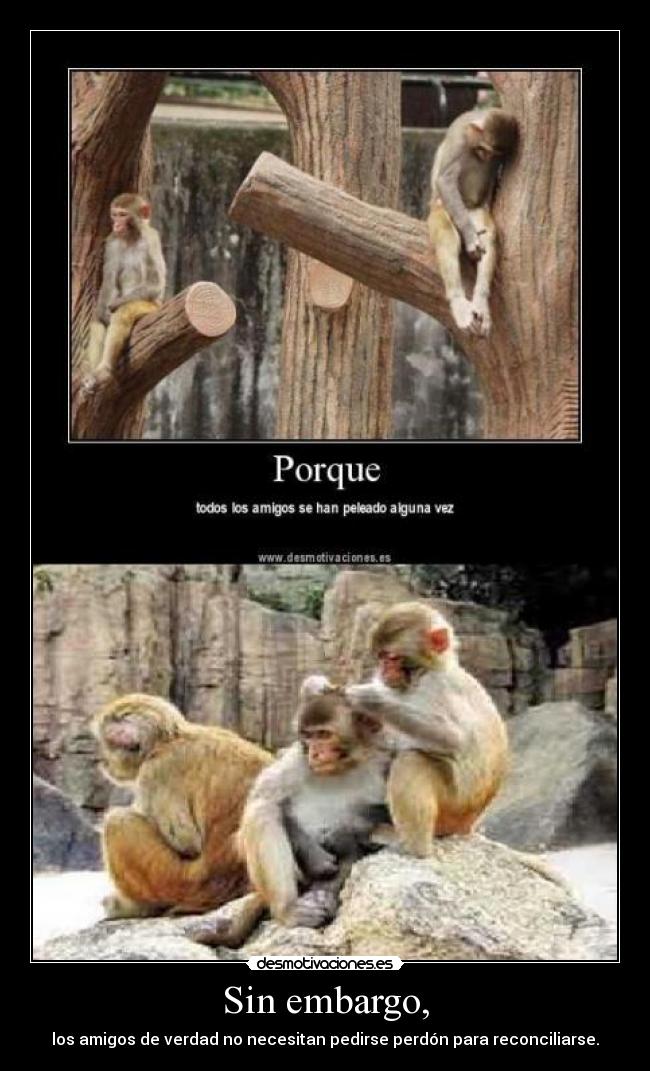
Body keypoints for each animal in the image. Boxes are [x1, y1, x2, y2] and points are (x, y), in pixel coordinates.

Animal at [85, 193, 166, 388]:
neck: (131, 237)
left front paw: (114, 305)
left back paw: (105, 369)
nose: (116, 224)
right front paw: (105, 311)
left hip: (152, 307)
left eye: (123, 215)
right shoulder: (112, 242)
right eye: (114, 215)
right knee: (97, 321)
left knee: (124, 313)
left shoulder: (151, 239)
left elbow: (155, 283)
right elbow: (109, 281)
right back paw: (93, 374)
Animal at [92, 693, 271, 920]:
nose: (102, 759)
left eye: (108, 743)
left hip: (179, 881)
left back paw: (137, 907)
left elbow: (187, 842)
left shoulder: (156, 772)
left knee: (117, 823)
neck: (168, 740)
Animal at [237, 675, 391, 929]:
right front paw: (314, 854)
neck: (344, 767)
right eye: (309, 735)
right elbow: (261, 801)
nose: (315, 753)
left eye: (324, 735)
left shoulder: (387, 756)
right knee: (263, 812)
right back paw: (289, 909)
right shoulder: (298, 761)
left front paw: (344, 833)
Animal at [345, 602, 509, 859]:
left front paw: (372, 700)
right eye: (381, 657)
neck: (422, 674)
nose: (383, 671)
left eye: (392, 658)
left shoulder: (437, 686)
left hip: (453, 806)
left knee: (411, 760)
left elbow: (452, 738)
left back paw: (413, 847)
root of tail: (467, 825)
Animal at [427, 107, 518, 337]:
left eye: (494, 153)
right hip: (441, 209)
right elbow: (445, 180)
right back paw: (459, 302)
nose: (486, 156)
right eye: (484, 149)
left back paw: (480, 301)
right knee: (447, 233)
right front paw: (469, 237)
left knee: (489, 235)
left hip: (473, 211)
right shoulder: (459, 136)